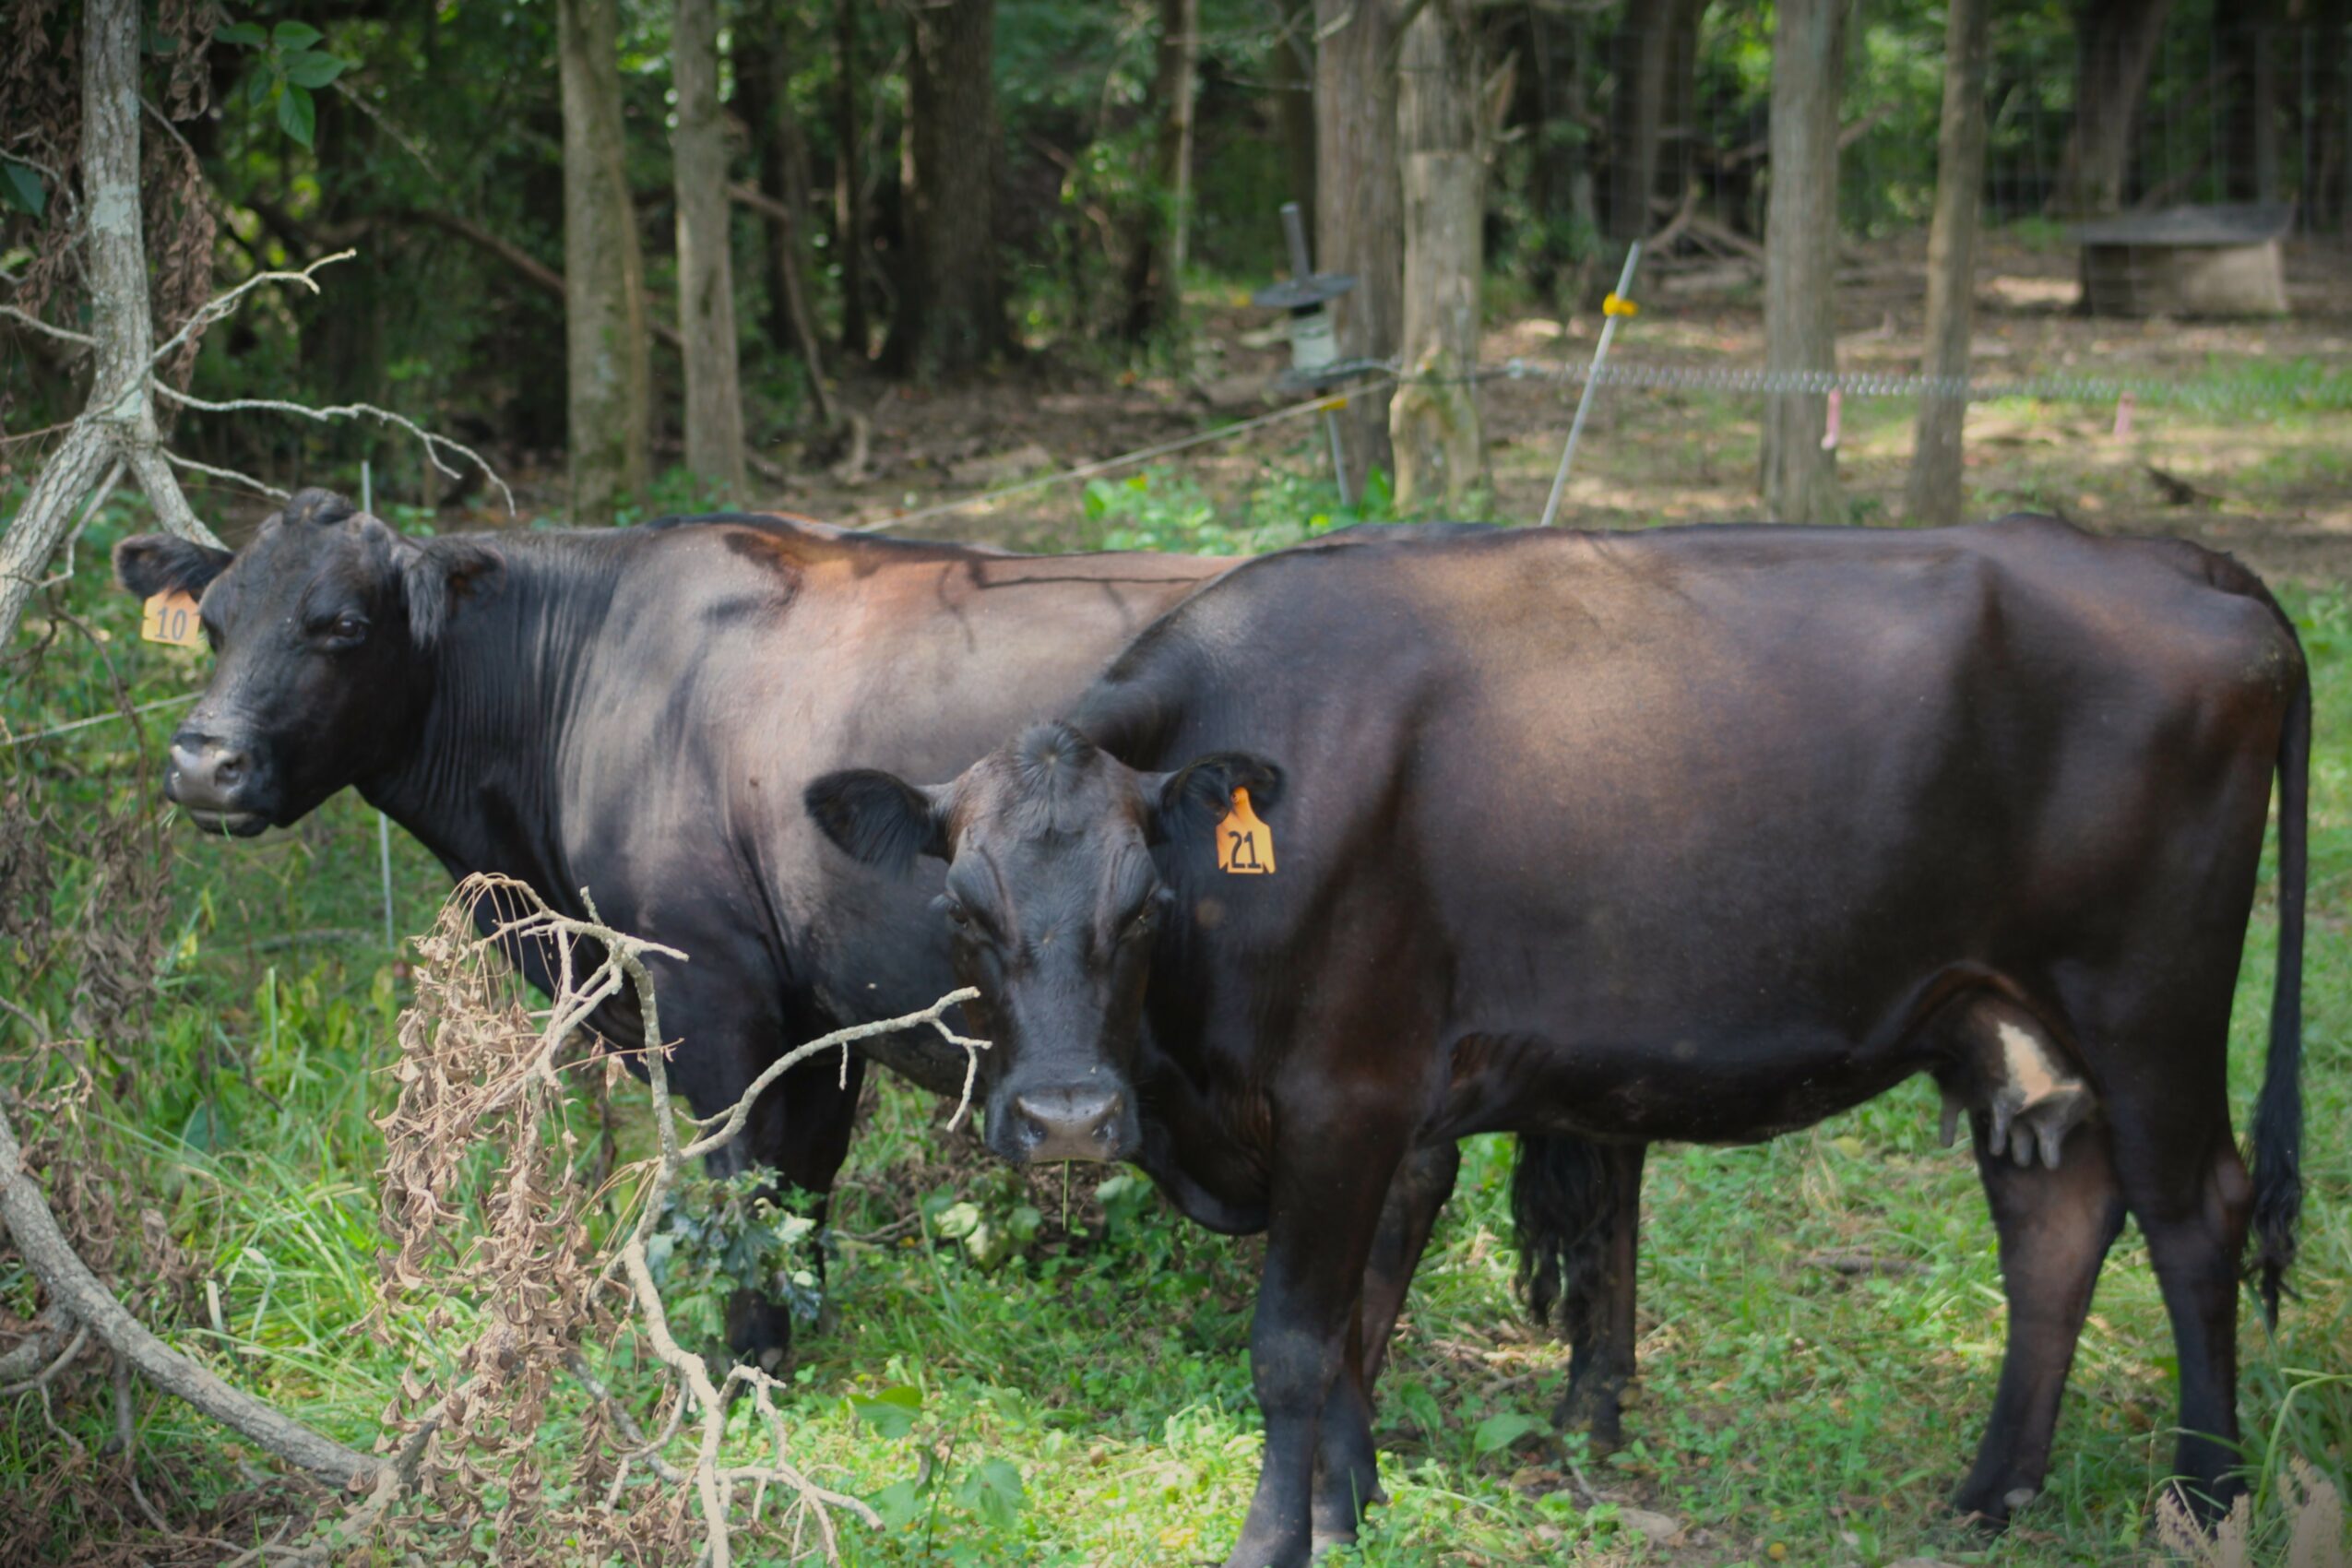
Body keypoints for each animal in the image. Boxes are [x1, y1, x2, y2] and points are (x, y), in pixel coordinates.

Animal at [111, 489, 1229, 1363]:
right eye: (213, 622)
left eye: (342, 625)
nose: (204, 763)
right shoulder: (820, 1002)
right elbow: (802, 1179)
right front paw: (799, 1329)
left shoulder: (711, 984)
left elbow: (739, 1182)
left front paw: (749, 1363)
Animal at [806, 516, 2310, 1568]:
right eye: (962, 907)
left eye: (1144, 905)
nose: (1066, 1117)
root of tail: (2179, 559)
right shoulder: (1394, 1112)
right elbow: (1356, 1326)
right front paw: (1352, 1507)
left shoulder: (1346, 1094)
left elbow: (1294, 1340)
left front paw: (1275, 1537)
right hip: (2003, 1014)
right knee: (2054, 1212)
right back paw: (1992, 1490)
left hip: (2151, 999)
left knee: (2195, 1214)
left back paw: (2209, 1498)